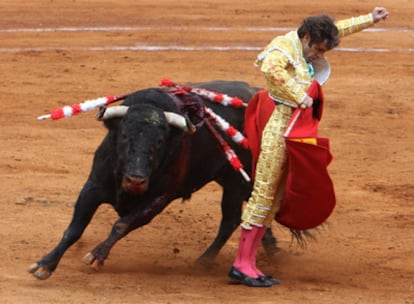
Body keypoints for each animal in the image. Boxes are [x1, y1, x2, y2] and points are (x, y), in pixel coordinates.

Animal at [29, 81, 278, 280]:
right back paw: (272, 251)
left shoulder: (159, 198)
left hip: (236, 184)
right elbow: (74, 229)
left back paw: (204, 261)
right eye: (124, 136)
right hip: (233, 181)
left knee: (231, 219)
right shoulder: (92, 188)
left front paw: (96, 255)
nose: (135, 180)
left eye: (160, 141)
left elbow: (122, 224)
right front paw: (45, 264)